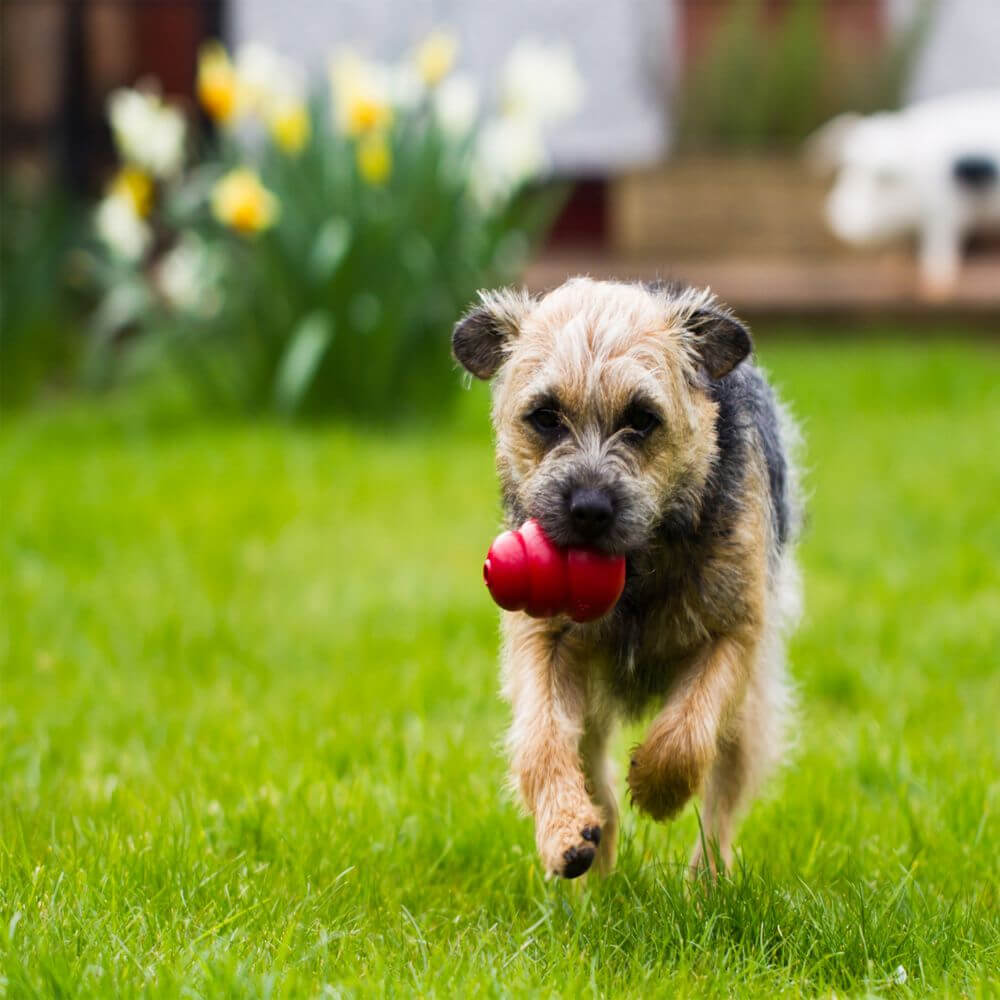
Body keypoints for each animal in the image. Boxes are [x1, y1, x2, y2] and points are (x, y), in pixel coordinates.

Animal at [454, 278, 804, 880]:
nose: (589, 509)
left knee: (722, 798)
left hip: (750, 711)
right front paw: (564, 830)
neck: (638, 572)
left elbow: (687, 732)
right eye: (546, 417)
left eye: (641, 418)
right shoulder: (543, 640)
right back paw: (595, 858)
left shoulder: (735, 634)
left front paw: (658, 789)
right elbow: (541, 740)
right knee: (593, 771)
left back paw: (706, 881)